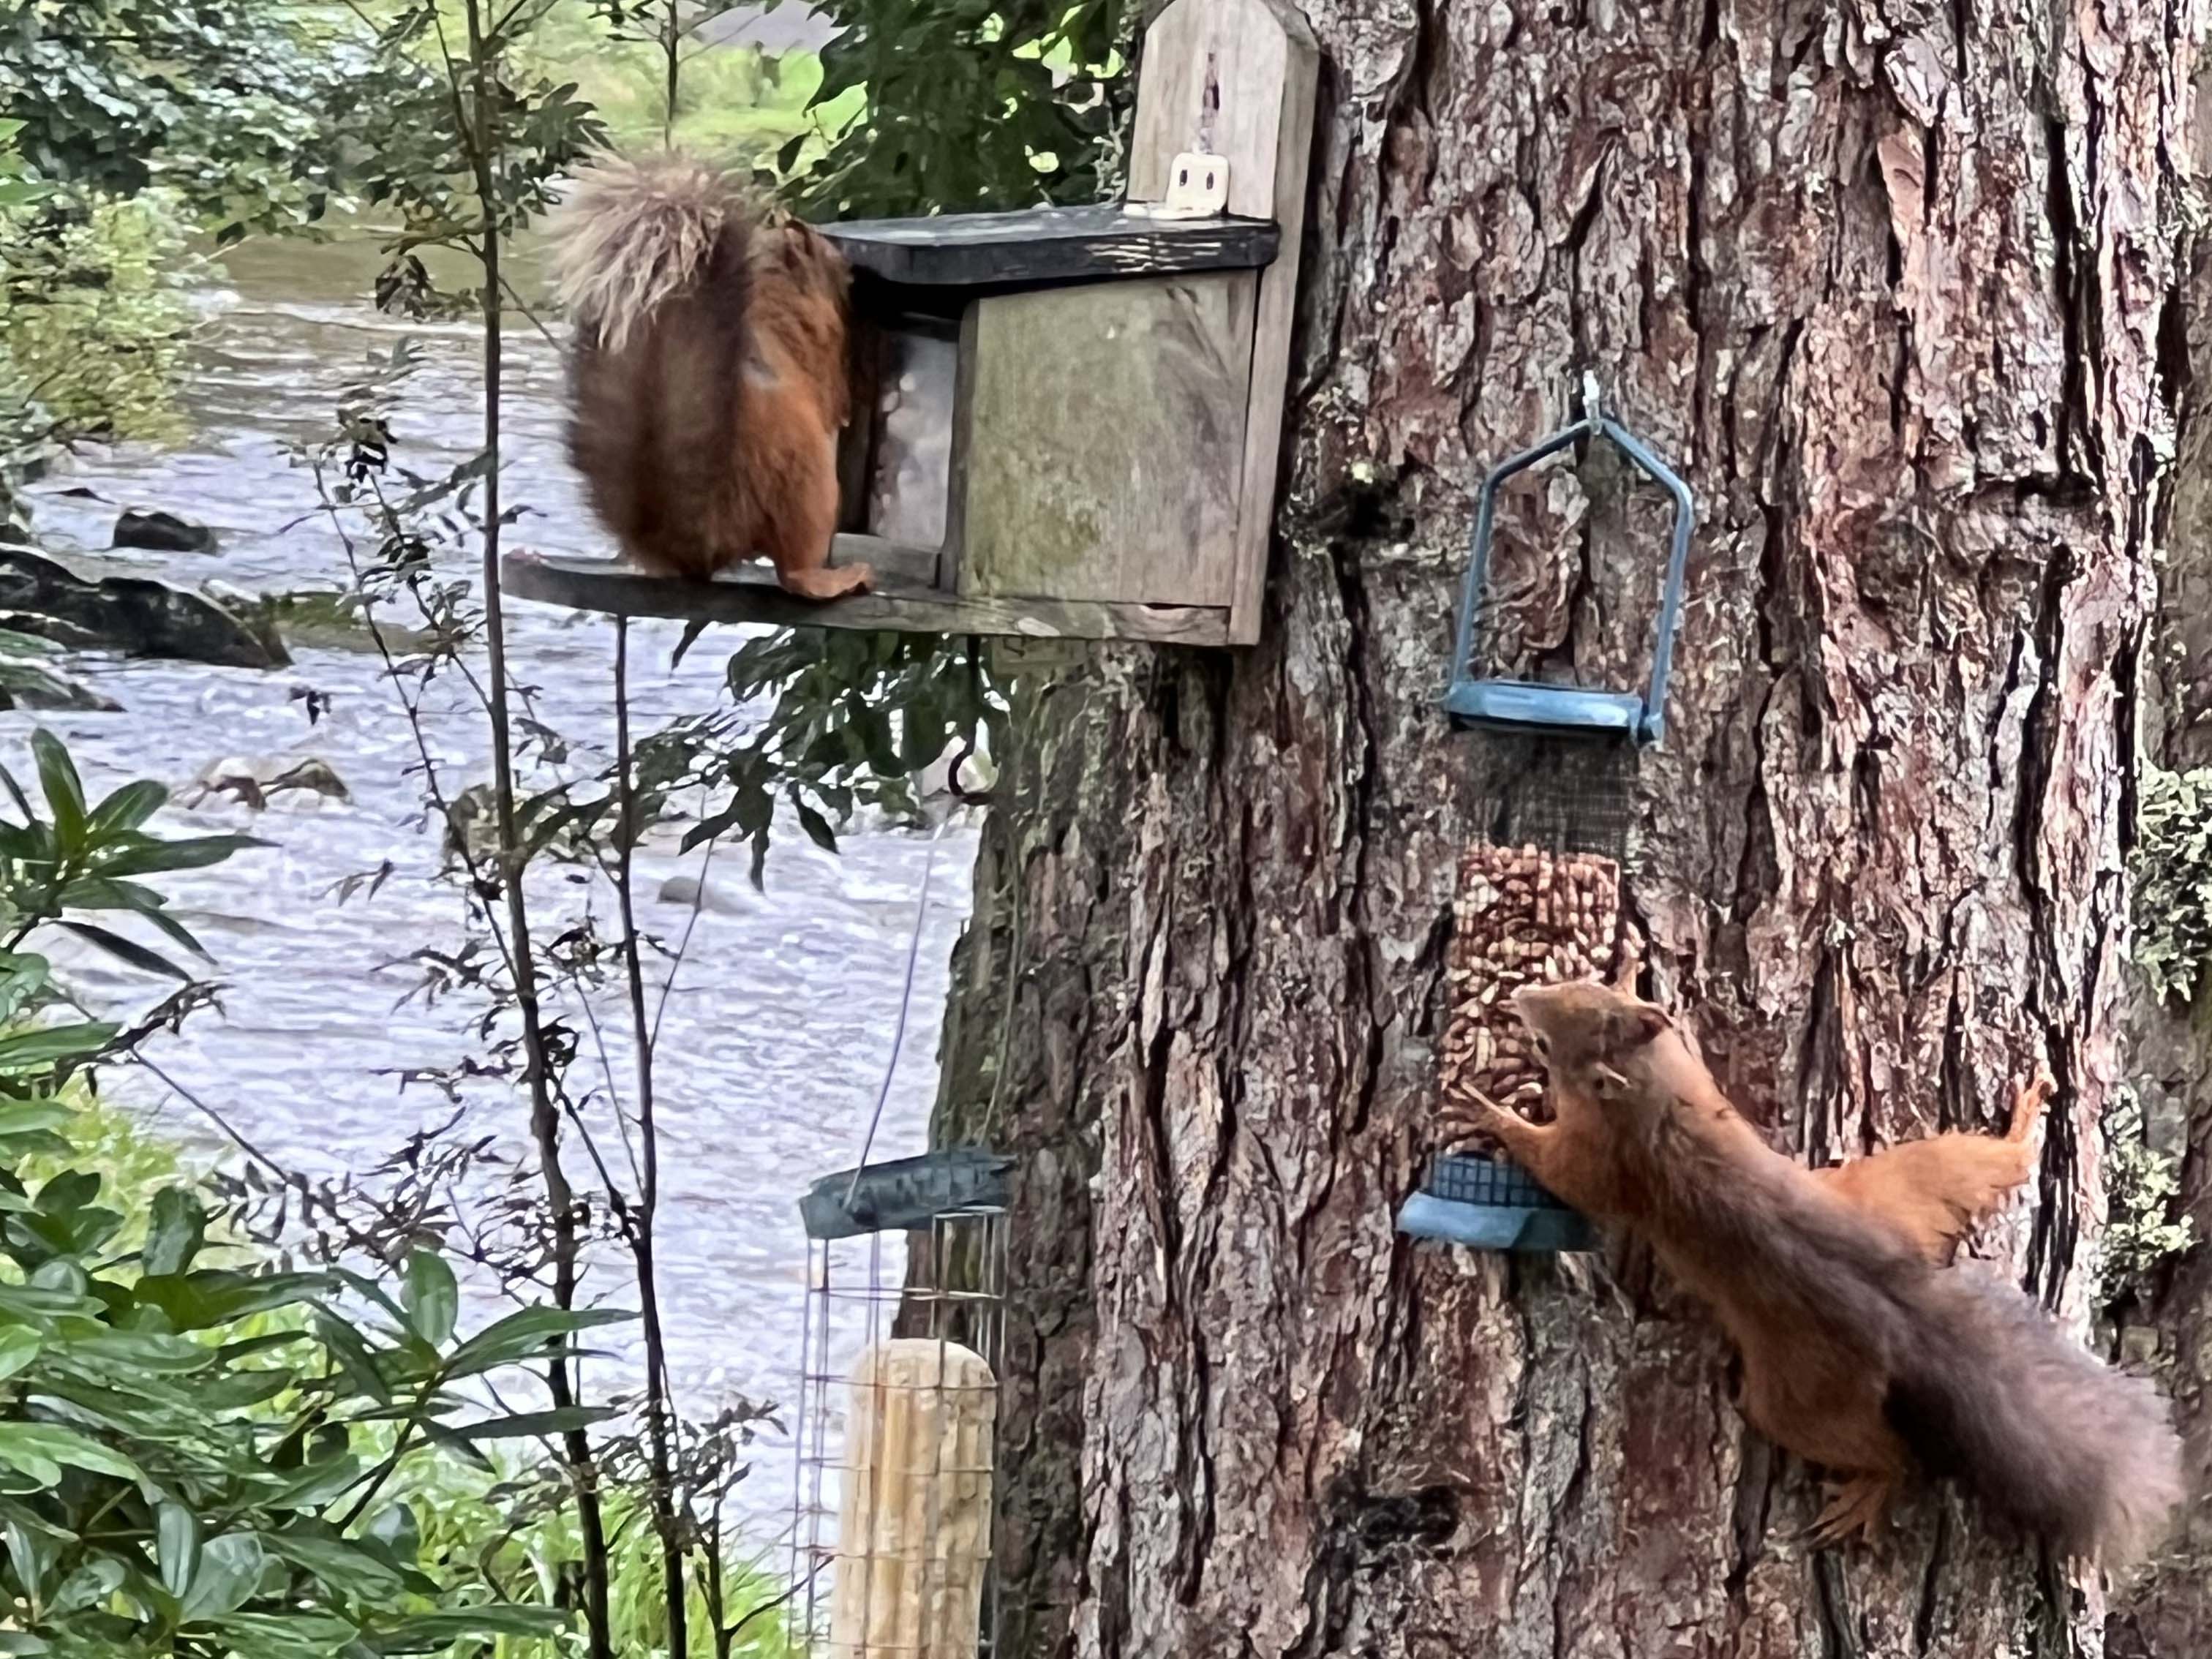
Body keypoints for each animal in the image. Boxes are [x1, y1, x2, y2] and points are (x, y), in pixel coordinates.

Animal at [547, 153, 870, 601]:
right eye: (828, 255)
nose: (854, 271)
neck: (775, 283)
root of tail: (701, 542)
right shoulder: (817, 336)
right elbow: (834, 389)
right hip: (812, 485)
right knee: (795, 573)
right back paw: (837, 577)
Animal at [1436, 979, 2183, 1566]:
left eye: (1545, 1047)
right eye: (1584, 989)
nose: (1520, 999)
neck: (1658, 1104)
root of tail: (1893, 1307)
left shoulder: (1606, 1167)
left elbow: (1559, 1172)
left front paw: (1493, 1115)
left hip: (1797, 1396)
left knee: (1891, 1454)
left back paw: (1869, 1492)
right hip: (1903, 1186)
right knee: (1992, 1166)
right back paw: (2026, 1123)